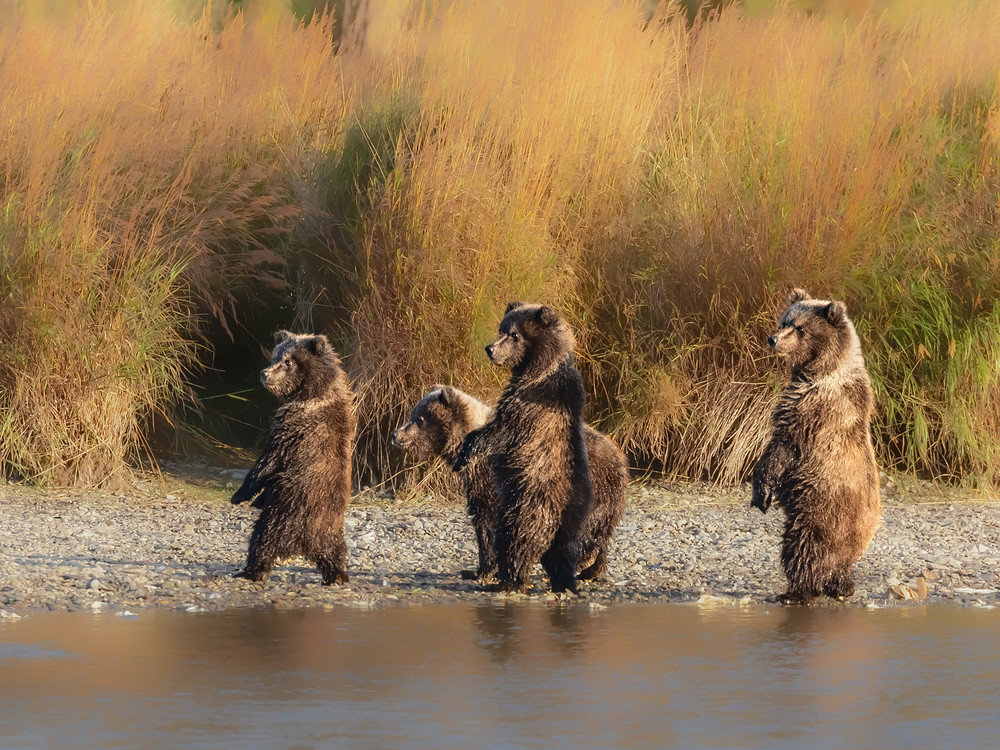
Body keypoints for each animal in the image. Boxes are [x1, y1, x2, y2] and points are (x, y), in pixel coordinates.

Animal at [230, 330, 356, 585]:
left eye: (288, 361)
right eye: (276, 355)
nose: (265, 373)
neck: (312, 393)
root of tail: (308, 542)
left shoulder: (293, 429)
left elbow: (267, 462)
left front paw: (239, 495)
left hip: (284, 512)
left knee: (262, 539)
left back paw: (250, 571)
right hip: (331, 530)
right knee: (336, 552)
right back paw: (337, 575)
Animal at [391, 385, 628, 582]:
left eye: (419, 418)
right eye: (413, 415)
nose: (395, 433)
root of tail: (618, 454)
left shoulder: (487, 475)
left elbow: (486, 519)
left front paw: (482, 570)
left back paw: (581, 561)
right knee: (601, 531)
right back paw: (592, 569)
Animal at [454, 302, 594, 594]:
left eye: (515, 335)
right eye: (502, 329)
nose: (490, 349)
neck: (537, 367)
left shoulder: (532, 404)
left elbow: (500, 430)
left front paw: (464, 454)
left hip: (527, 505)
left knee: (513, 541)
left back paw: (508, 581)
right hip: (574, 518)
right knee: (562, 554)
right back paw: (564, 583)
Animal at [751, 288, 882, 604]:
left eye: (800, 328)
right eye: (785, 320)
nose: (773, 339)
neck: (820, 371)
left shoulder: (812, 409)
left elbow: (783, 448)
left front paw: (762, 492)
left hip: (820, 510)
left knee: (802, 549)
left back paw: (796, 592)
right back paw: (842, 586)